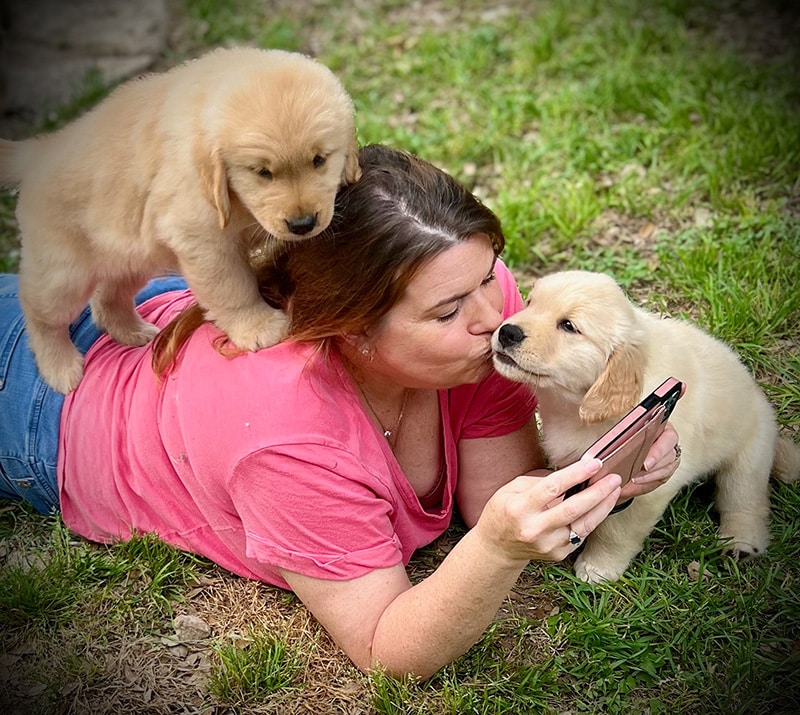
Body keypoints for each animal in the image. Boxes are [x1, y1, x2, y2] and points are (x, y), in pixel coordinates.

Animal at [0, 47, 360, 394]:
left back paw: (132, 332)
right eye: (262, 173)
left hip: (130, 256)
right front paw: (258, 327)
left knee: (107, 297)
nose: (303, 224)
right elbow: (233, 287)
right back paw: (60, 368)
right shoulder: (203, 239)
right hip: (64, 272)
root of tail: (37, 154)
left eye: (319, 160)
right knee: (39, 311)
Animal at [490, 268, 796, 580]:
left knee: (746, 501)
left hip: (749, 456)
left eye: (568, 326)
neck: (575, 406)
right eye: (530, 302)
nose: (507, 332)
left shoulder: (645, 486)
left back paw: (742, 543)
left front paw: (598, 567)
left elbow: (616, 531)